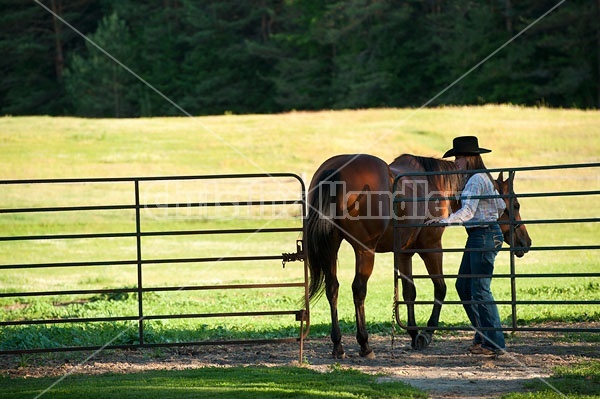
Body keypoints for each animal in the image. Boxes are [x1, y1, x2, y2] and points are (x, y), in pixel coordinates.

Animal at [308, 154, 532, 360]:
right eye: (515, 206)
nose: (526, 242)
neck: (435, 184)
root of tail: (335, 172)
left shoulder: (404, 254)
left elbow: (409, 292)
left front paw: (414, 333)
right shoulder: (431, 248)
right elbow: (440, 288)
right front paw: (426, 333)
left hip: (330, 247)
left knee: (333, 288)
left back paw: (338, 345)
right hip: (364, 251)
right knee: (358, 290)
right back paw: (365, 344)